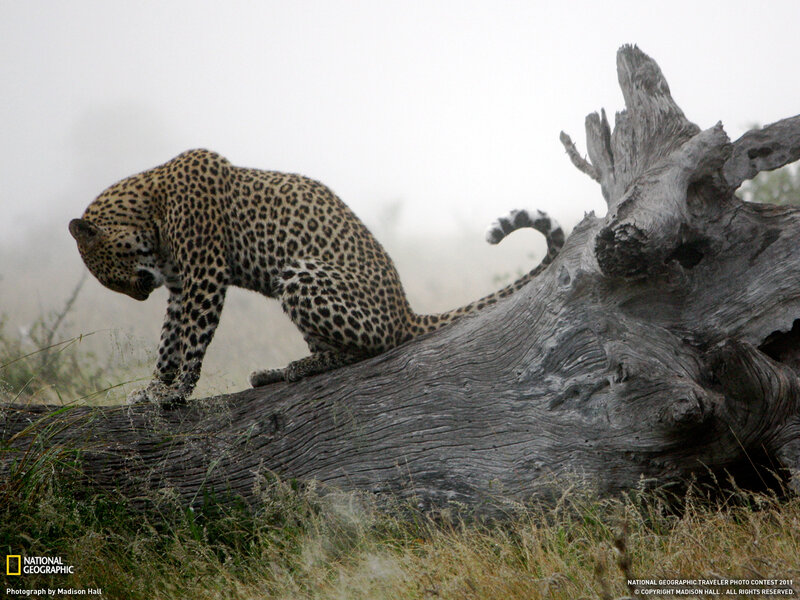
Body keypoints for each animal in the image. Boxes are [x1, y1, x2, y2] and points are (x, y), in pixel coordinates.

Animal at [69, 149, 565, 405]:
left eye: (108, 277)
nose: (139, 296)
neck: (148, 207)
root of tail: (407, 312)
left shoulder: (204, 276)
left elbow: (191, 340)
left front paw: (174, 395)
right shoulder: (178, 285)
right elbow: (169, 341)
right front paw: (154, 388)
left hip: (299, 274)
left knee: (371, 349)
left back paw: (298, 367)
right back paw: (274, 372)